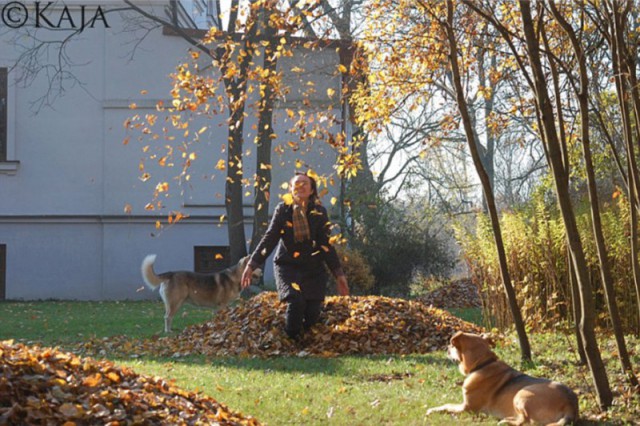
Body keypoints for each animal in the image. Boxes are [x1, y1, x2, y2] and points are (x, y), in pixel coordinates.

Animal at [428, 332, 576, 426]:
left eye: (452, 346)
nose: (446, 348)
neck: (483, 363)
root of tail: (570, 405)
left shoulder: (467, 408)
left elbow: (447, 405)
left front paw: (432, 410)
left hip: (522, 393)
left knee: (526, 422)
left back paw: (504, 422)